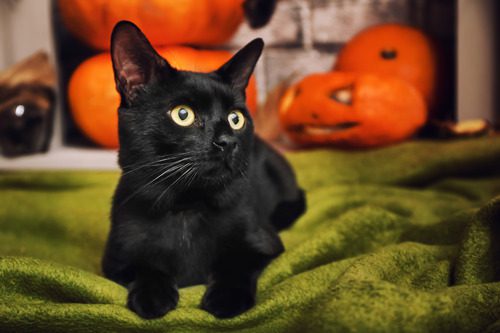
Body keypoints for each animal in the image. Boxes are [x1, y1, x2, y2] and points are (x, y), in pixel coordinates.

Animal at [102, 21, 304, 320]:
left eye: (236, 118)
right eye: (182, 114)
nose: (227, 141)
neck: (187, 207)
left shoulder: (263, 242)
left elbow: (235, 263)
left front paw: (227, 299)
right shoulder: (116, 259)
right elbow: (146, 267)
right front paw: (152, 297)